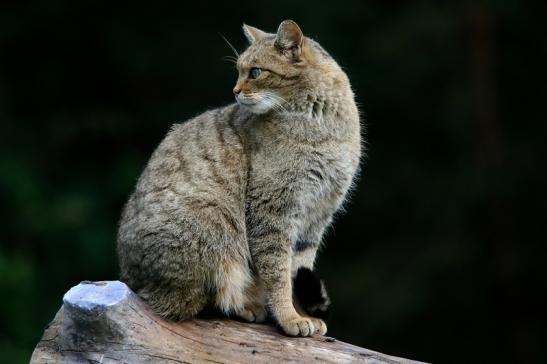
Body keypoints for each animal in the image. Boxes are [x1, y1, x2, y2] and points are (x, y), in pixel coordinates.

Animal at [117, 19, 362, 336]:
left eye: (255, 72)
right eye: (239, 71)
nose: (234, 90)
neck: (321, 123)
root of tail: (131, 281)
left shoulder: (317, 217)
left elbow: (296, 271)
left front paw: (298, 314)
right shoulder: (273, 211)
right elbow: (278, 274)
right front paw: (290, 318)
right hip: (211, 229)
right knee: (196, 302)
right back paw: (244, 306)